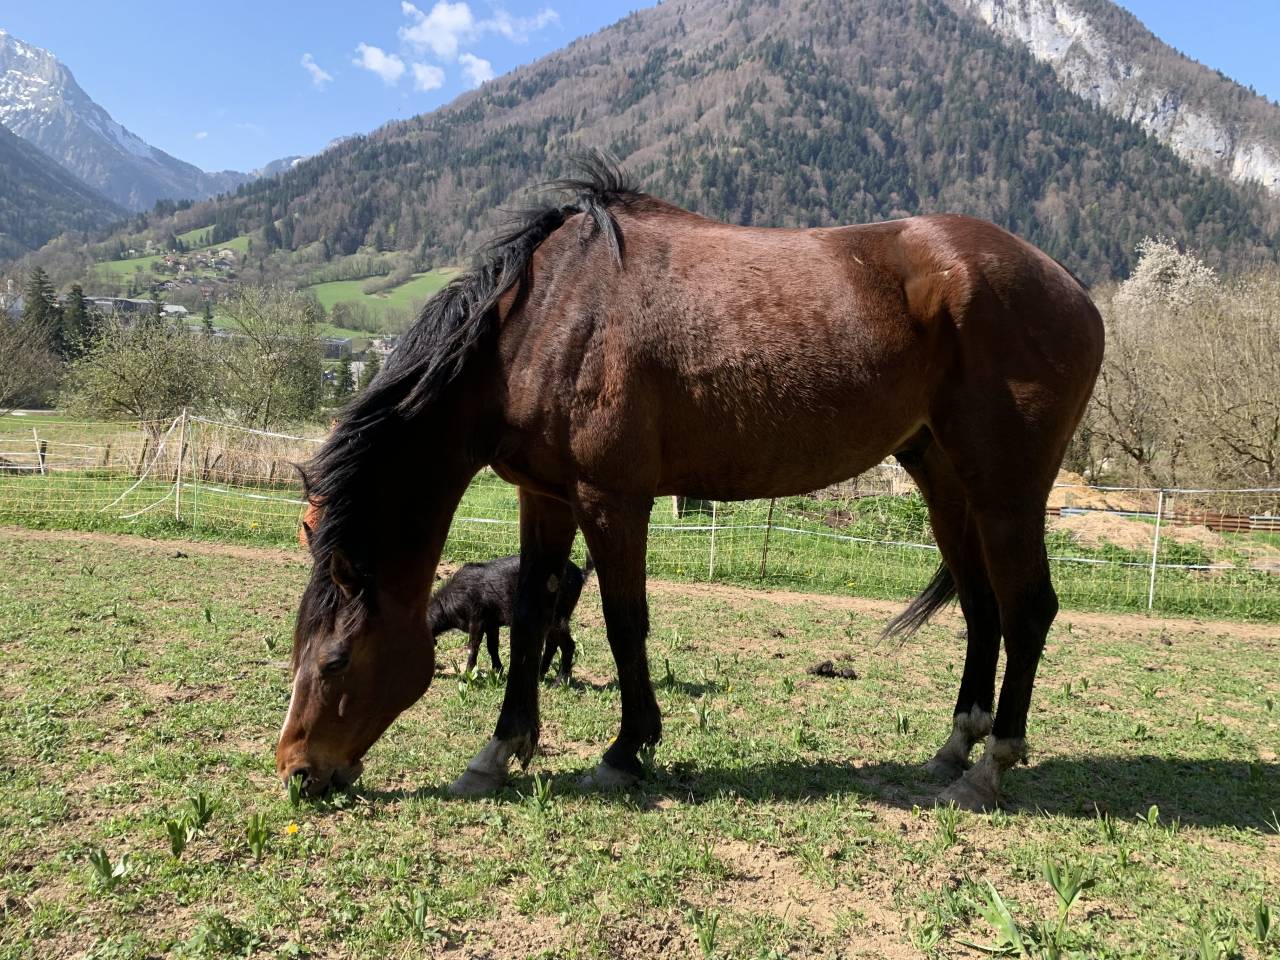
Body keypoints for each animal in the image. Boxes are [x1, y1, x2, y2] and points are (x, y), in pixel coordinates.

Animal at [277, 154, 1104, 811]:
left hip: (1007, 486)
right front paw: (498, 753)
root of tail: (1073, 288)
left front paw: (625, 752)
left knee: (1029, 610)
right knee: (981, 610)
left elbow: (624, 623)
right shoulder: (543, 496)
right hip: (944, 478)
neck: (544, 319)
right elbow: (534, 615)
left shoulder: (612, 499)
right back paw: (955, 747)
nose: (298, 771)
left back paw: (989, 768)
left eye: (336, 660)